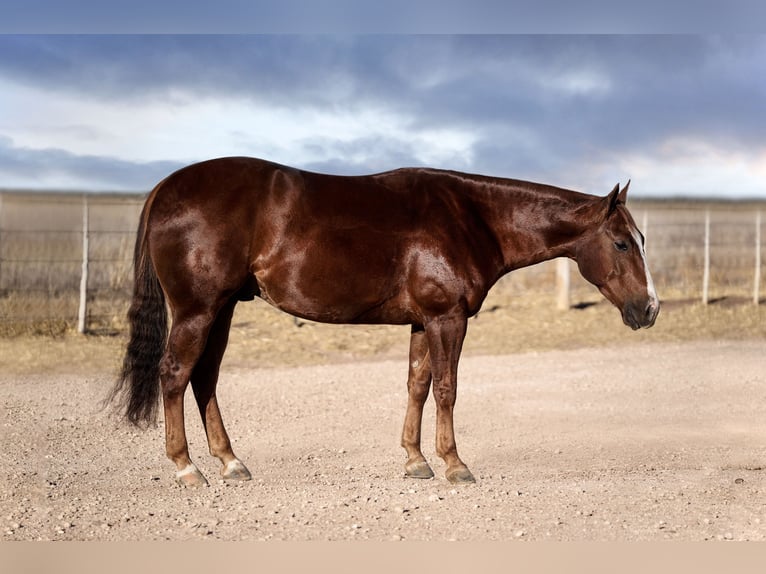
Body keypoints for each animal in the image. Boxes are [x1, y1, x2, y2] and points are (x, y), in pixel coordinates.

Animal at [108, 157, 659, 487]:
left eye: (639, 240)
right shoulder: (447, 319)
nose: (650, 308)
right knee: (175, 375)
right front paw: (454, 464)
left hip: (221, 309)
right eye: (621, 243)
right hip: (198, 310)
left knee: (204, 378)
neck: (471, 217)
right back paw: (186, 468)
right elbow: (447, 389)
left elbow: (417, 385)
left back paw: (230, 461)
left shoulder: (423, 322)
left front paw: (415, 461)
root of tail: (166, 186)